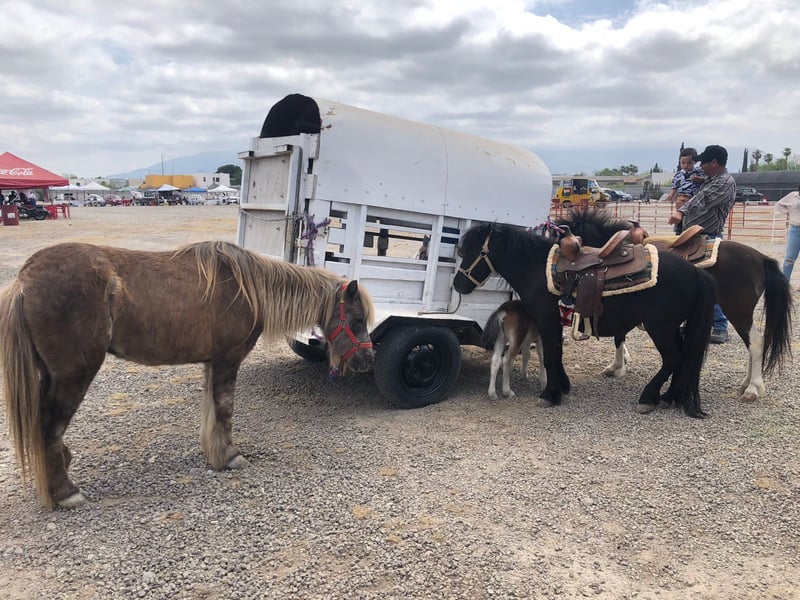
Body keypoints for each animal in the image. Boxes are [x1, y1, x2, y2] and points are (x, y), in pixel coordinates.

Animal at [0, 241, 376, 508]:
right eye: (358, 319)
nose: (368, 360)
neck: (248, 288)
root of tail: (24, 281)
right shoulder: (227, 360)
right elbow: (224, 408)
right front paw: (231, 456)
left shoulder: (212, 362)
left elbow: (212, 409)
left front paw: (215, 454)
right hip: (72, 376)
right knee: (49, 426)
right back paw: (65, 492)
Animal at [456, 224, 720, 418]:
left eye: (474, 252)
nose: (458, 284)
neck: (538, 270)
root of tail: (695, 271)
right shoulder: (553, 323)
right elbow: (556, 355)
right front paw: (562, 387)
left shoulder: (547, 320)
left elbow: (550, 357)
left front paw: (549, 394)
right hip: (672, 327)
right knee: (683, 359)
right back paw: (668, 398)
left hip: (660, 327)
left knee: (673, 359)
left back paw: (649, 398)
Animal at [556, 209, 792, 400]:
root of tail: (761, 257)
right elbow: (619, 335)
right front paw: (619, 364)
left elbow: (618, 336)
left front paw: (617, 366)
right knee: (754, 343)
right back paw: (746, 384)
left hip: (738, 311)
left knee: (755, 342)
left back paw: (753, 388)